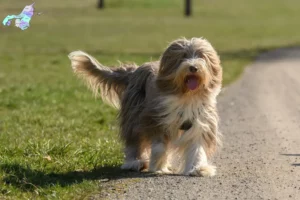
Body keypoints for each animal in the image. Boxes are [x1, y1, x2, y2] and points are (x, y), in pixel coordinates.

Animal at [68, 37, 223, 177]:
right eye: (183, 56)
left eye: (201, 56)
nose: (193, 67)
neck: (186, 97)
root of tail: (134, 70)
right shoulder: (154, 118)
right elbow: (159, 146)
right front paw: (158, 166)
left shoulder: (200, 122)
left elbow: (197, 147)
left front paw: (198, 168)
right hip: (133, 115)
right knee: (133, 140)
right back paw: (134, 162)